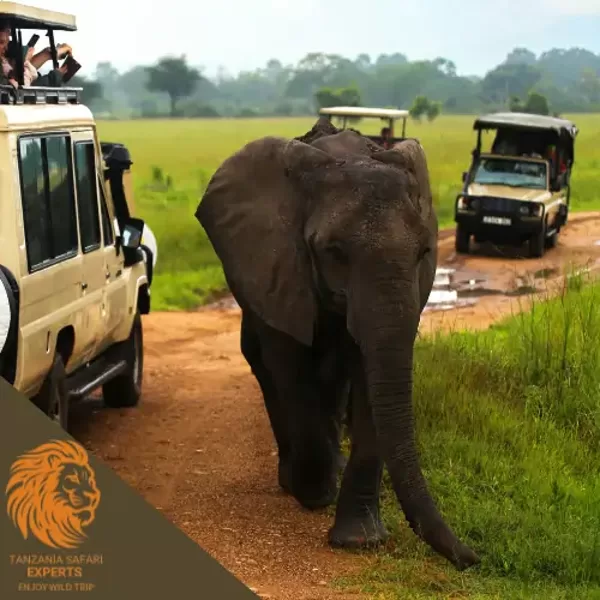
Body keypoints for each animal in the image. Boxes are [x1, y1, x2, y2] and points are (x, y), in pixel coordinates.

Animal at [195, 118, 480, 572]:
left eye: (424, 252)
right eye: (333, 251)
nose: (473, 558)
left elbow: (367, 377)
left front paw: (360, 540)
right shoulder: (279, 268)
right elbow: (291, 368)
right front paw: (315, 494)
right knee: (269, 372)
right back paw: (295, 479)